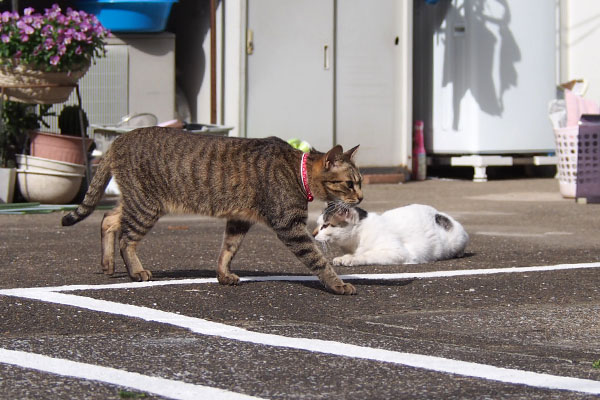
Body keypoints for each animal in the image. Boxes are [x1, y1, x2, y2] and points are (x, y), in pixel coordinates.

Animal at [62, 127, 360, 294]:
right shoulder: (289, 225)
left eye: (359, 182)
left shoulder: (239, 220)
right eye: (349, 184)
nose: (361, 197)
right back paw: (136, 272)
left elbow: (227, 250)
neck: (298, 173)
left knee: (108, 218)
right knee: (127, 239)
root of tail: (118, 140)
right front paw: (336, 284)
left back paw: (107, 264)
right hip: (146, 206)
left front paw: (223, 275)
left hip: (135, 201)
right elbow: (317, 259)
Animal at [314, 205, 468, 268]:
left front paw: (352, 259)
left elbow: (367, 255)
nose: (314, 233)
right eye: (318, 224)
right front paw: (343, 258)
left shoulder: (398, 252)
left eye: (325, 225)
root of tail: (439, 213)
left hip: (458, 239)